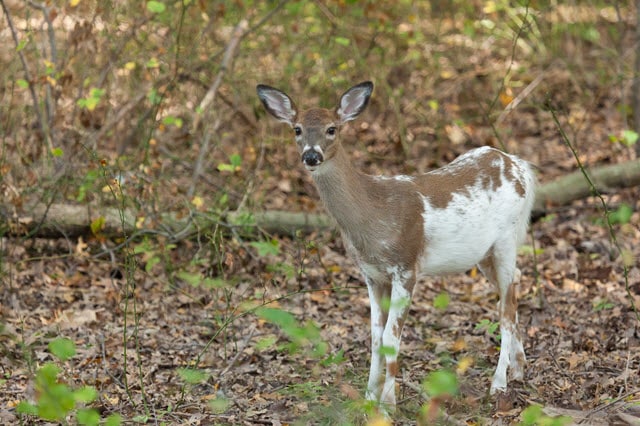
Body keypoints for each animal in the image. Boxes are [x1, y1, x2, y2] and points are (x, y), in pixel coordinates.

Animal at [255, 81, 536, 414]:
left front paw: (388, 405)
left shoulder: (406, 266)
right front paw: (368, 399)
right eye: (297, 129)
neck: (373, 217)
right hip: (485, 253)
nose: (311, 156)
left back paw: (498, 383)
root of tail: (520, 166)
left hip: (506, 237)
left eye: (331, 128)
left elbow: (391, 337)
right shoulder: (372, 274)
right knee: (514, 285)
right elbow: (376, 339)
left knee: (506, 307)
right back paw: (518, 368)